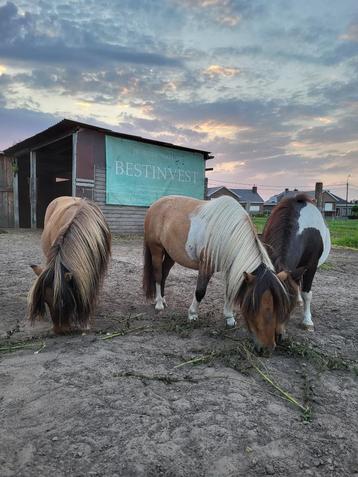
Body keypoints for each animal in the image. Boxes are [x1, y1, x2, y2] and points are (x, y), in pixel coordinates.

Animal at [143, 192, 290, 350]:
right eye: (261, 307)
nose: (268, 347)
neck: (228, 232)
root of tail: (155, 205)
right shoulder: (206, 267)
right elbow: (200, 292)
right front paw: (192, 314)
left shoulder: (231, 268)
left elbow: (229, 292)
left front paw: (229, 317)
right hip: (156, 250)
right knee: (158, 276)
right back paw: (159, 303)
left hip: (171, 254)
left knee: (164, 275)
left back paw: (163, 299)